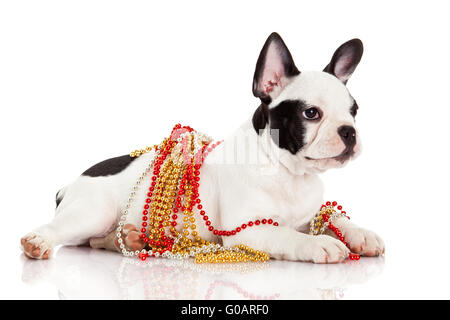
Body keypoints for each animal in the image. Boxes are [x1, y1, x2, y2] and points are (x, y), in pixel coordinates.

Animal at [21, 33, 384, 262]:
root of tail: (72, 184)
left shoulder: (308, 212)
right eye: (312, 113)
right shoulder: (248, 231)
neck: (288, 171)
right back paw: (39, 242)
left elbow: (334, 214)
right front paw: (319, 244)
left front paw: (361, 234)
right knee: (63, 230)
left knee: (97, 241)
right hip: (93, 212)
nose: (349, 131)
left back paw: (131, 239)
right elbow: (290, 236)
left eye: (354, 112)